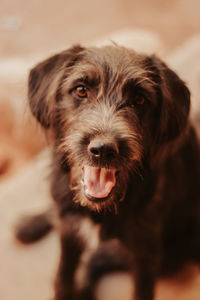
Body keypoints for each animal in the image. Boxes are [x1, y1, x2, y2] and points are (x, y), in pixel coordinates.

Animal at [15, 45, 200, 300]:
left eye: (139, 99)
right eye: (81, 90)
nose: (103, 150)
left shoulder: (147, 253)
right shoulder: (70, 230)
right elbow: (63, 276)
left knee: (96, 259)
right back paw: (30, 224)